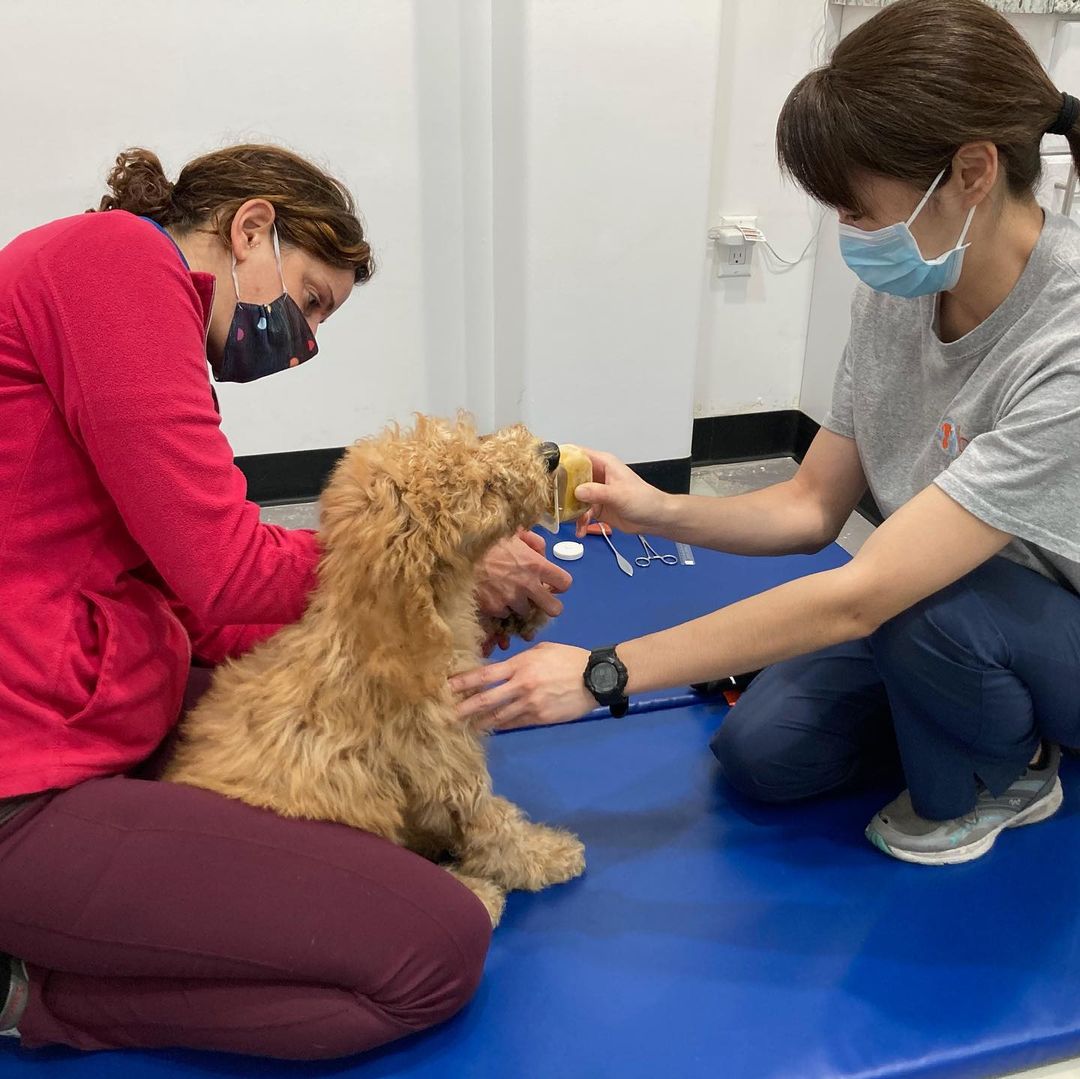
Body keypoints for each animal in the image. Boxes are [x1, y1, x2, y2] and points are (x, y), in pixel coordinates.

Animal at [162, 416, 583, 924]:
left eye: (475, 440)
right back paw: (476, 894)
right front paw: (546, 854)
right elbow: (493, 825)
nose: (551, 453)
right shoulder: (445, 759)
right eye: (485, 488)